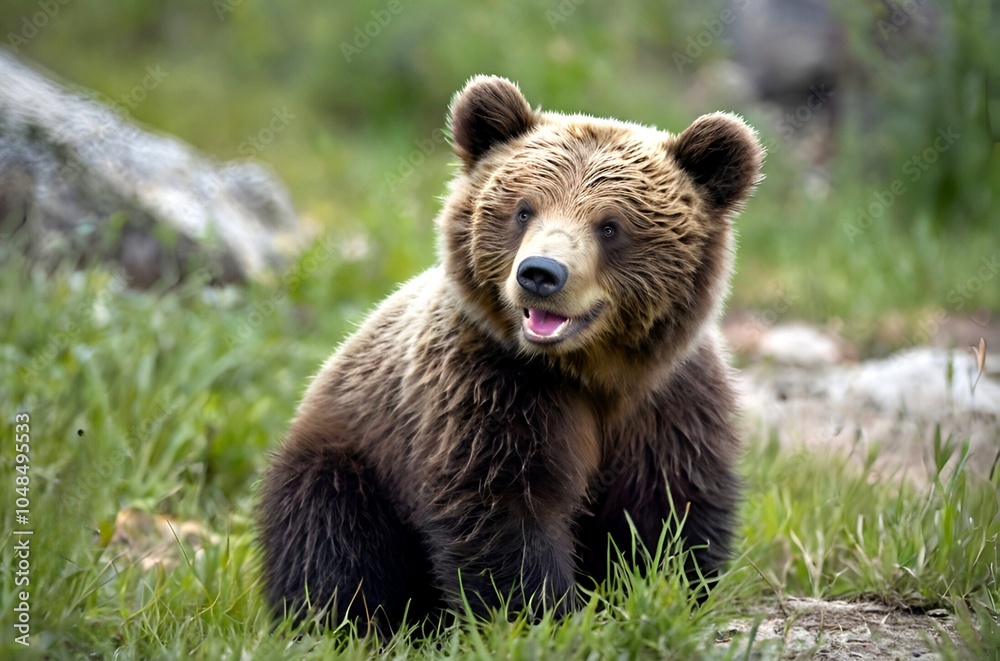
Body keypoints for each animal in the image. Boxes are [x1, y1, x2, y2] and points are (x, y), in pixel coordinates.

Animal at [257, 75, 763, 636]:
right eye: (524, 209)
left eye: (610, 226)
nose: (541, 273)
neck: (594, 370)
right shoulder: (491, 387)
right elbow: (505, 509)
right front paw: (541, 616)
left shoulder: (670, 402)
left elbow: (669, 511)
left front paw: (661, 591)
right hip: (351, 455)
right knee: (332, 537)